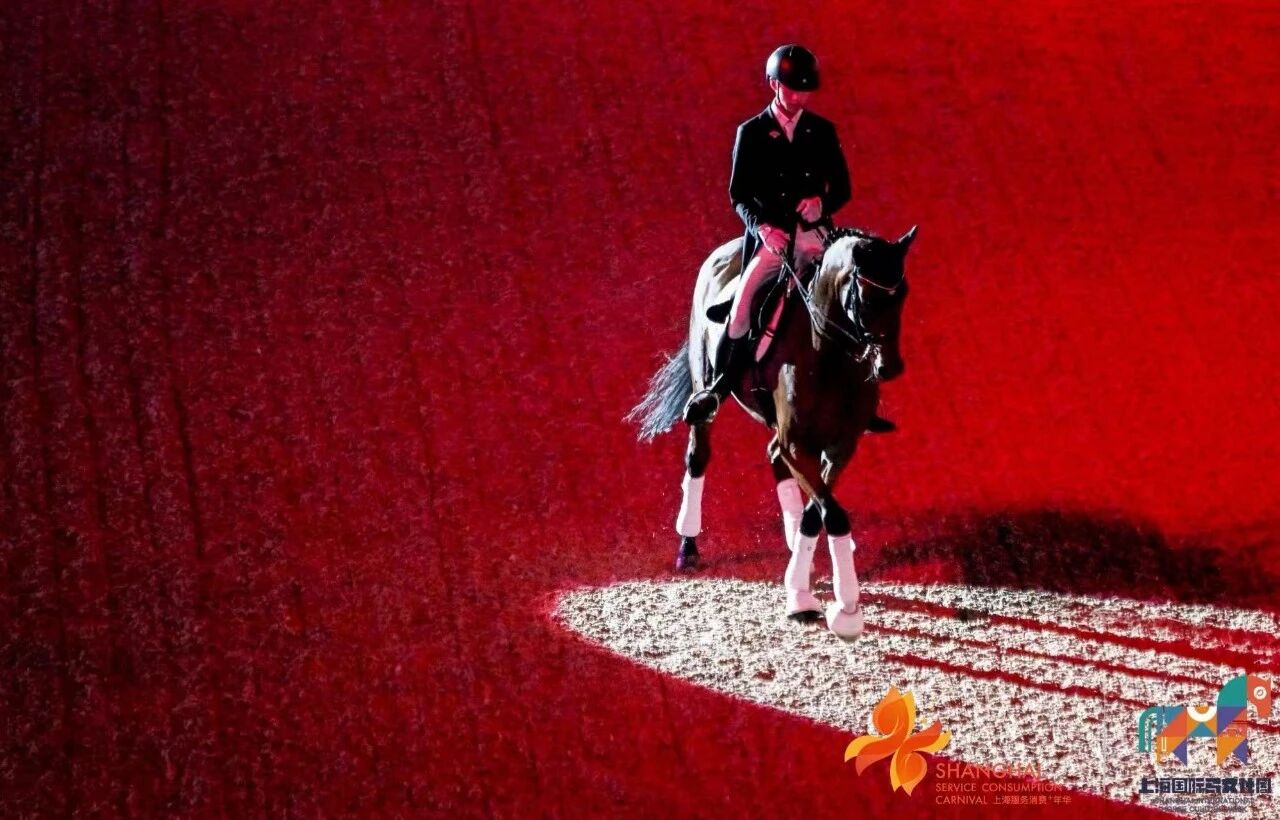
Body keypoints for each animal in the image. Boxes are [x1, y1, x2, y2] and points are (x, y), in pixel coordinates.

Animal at [627, 225, 916, 638]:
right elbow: (833, 514)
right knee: (699, 455)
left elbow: (817, 513)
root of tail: (728, 249)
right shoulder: (798, 444)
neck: (828, 357)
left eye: (902, 292)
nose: (889, 367)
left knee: (773, 455)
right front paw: (841, 609)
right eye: (865, 293)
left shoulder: (840, 447)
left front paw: (800, 584)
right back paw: (688, 546)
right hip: (705, 384)